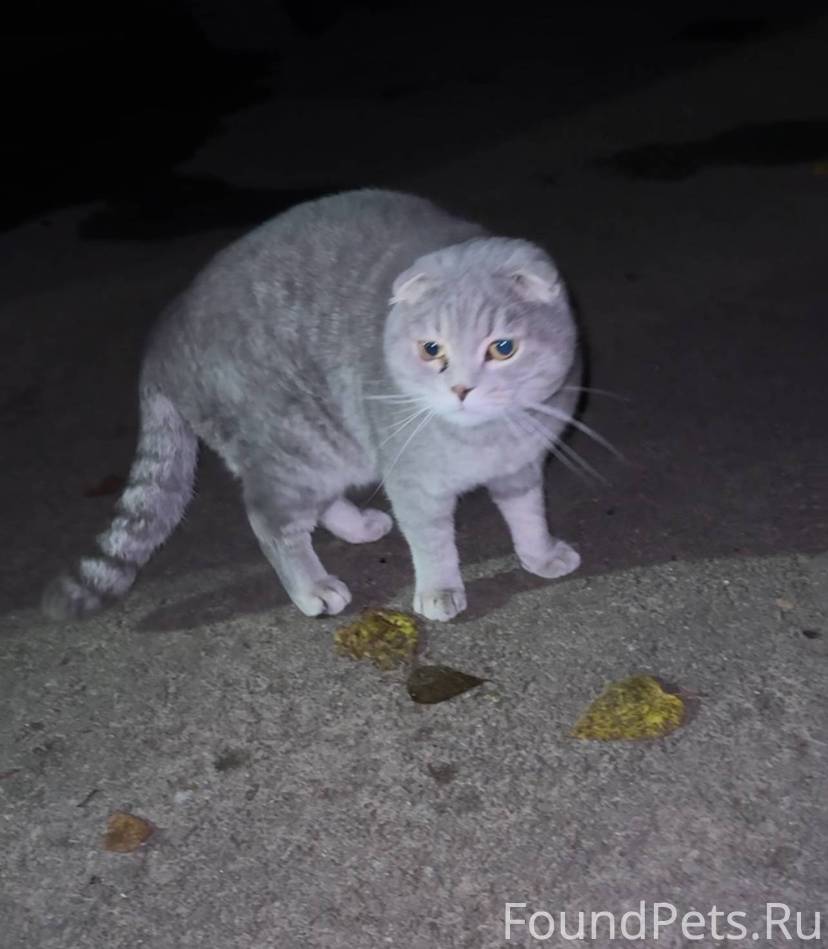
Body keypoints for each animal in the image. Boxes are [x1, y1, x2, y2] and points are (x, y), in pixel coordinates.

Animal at [43, 188, 584, 623]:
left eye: (503, 348)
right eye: (432, 349)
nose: (462, 390)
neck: (485, 435)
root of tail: (164, 330)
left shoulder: (522, 465)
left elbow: (528, 513)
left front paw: (539, 553)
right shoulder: (413, 481)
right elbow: (432, 542)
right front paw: (439, 589)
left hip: (329, 444)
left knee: (319, 500)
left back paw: (355, 525)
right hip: (298, 445)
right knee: (271, 520)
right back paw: (312, 586)